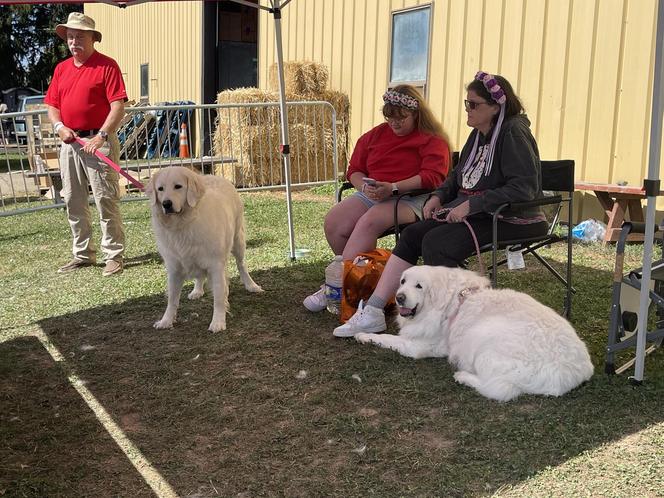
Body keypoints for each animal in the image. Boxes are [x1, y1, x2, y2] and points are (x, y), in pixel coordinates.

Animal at [147, 165, 264, 332]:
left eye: (178, 186)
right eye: (160, 189)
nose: (166, 204)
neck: (183, 224)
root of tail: (214, 176)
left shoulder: (216, 265)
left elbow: (219, 297)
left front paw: (218, 322)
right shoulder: (174, 268)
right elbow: (172, 300)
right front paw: (166, 321)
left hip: (238, 242)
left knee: (241, 265)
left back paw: (251, 285)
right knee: (199, 275)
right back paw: (197, 291)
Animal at [356, 266, 592, 402]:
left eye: (419, 286)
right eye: (403, 282)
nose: (399, 297)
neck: (449, 302)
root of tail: (575, 373)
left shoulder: (417, 346)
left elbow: (387, 339)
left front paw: (363, 335)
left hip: (485, 338)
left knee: (498, 390)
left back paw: (463, 377)